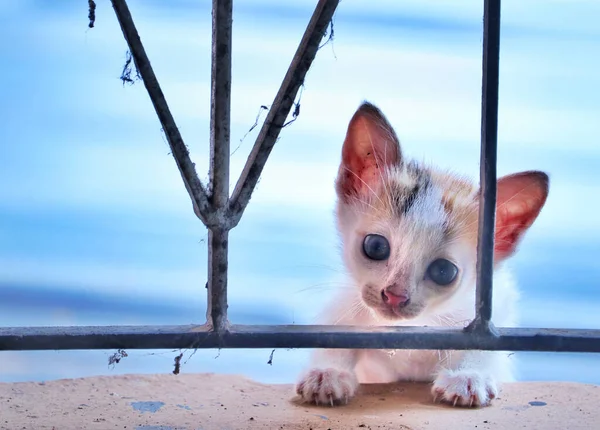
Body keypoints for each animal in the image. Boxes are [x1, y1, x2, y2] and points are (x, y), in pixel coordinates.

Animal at [294, 102, 548, 408]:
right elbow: (337, 331)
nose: (395, 296)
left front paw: (469, 375)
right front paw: (328, 372)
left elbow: (487, 348)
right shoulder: (347, 303)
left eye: (444, 271)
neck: (409, 331)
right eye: (376, 246)